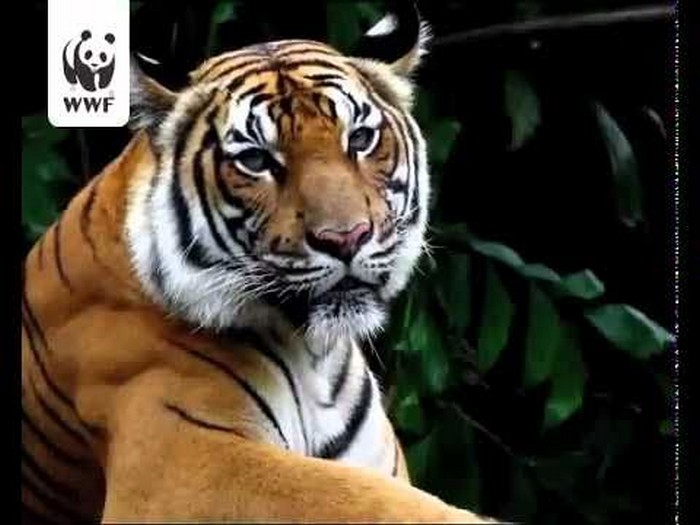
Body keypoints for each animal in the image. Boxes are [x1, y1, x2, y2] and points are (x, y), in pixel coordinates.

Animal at [21, 9, 498, 524]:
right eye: (255, 160)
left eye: (361, 139)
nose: (346, 238)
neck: (315, 359)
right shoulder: (178, 462)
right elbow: (355, 499)